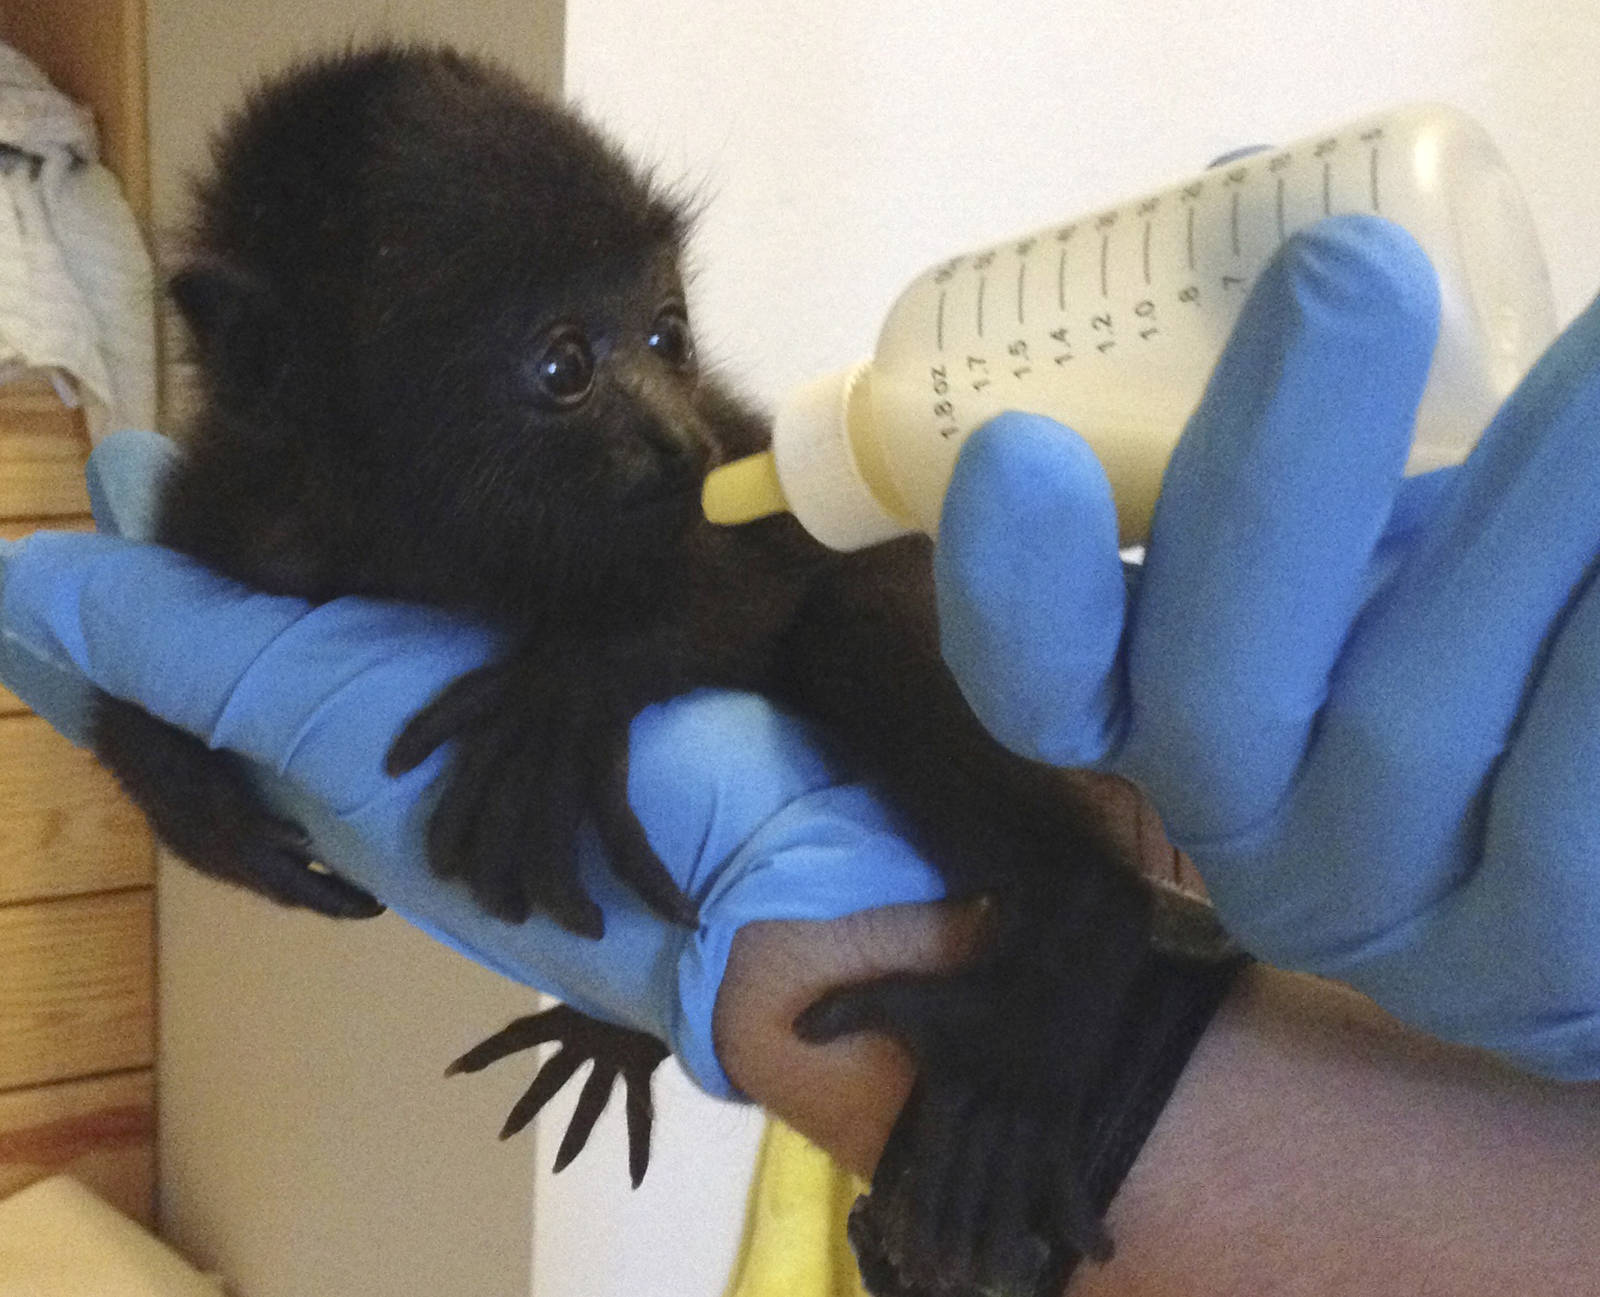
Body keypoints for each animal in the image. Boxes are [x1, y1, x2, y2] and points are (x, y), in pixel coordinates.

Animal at [89, 45, 1235, 1297]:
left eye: (667, 332)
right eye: (563, 363)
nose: (676, 443)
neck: (422, 544)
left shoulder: (740, 458)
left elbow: (771, 571)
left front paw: (575, 690)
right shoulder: (237, 513)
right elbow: (140, 614)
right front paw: (183, 794)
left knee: (851, 625)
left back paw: (1057, 968)